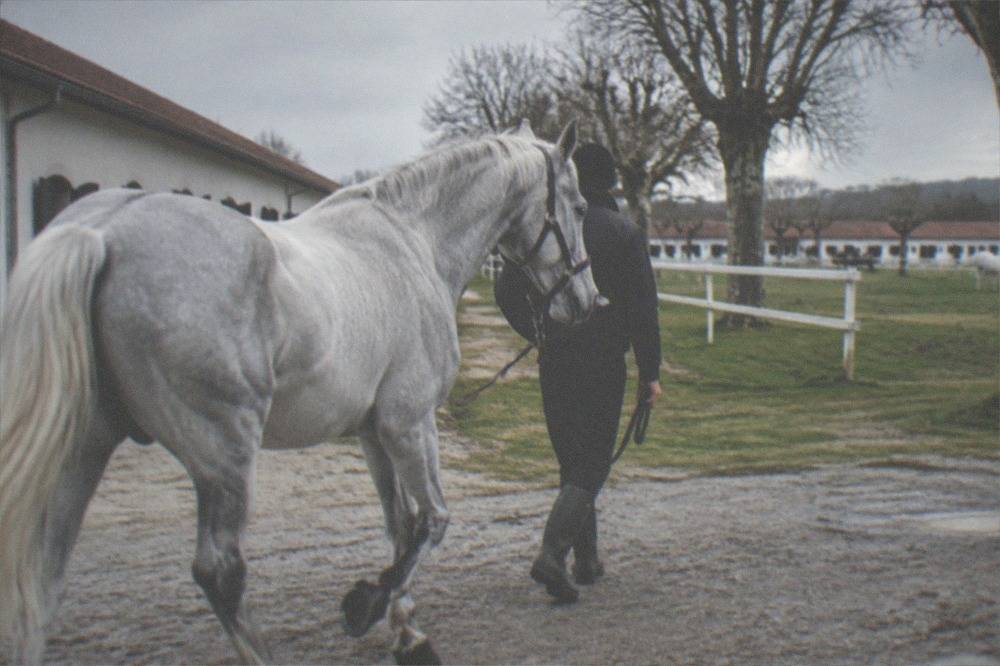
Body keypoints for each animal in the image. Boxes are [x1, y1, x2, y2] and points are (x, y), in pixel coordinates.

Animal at [0, 120, 601, 665]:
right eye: (579, 206)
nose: (586, 303)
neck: (413, 242)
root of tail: (102, 233)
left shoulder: (373, 433)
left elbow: (400, 526)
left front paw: (408, 634)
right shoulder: (410, 422)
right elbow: (432, 521)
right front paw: (367, 607)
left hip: (86, 444)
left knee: (43, 579)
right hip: (223, 453)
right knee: (221, 573)